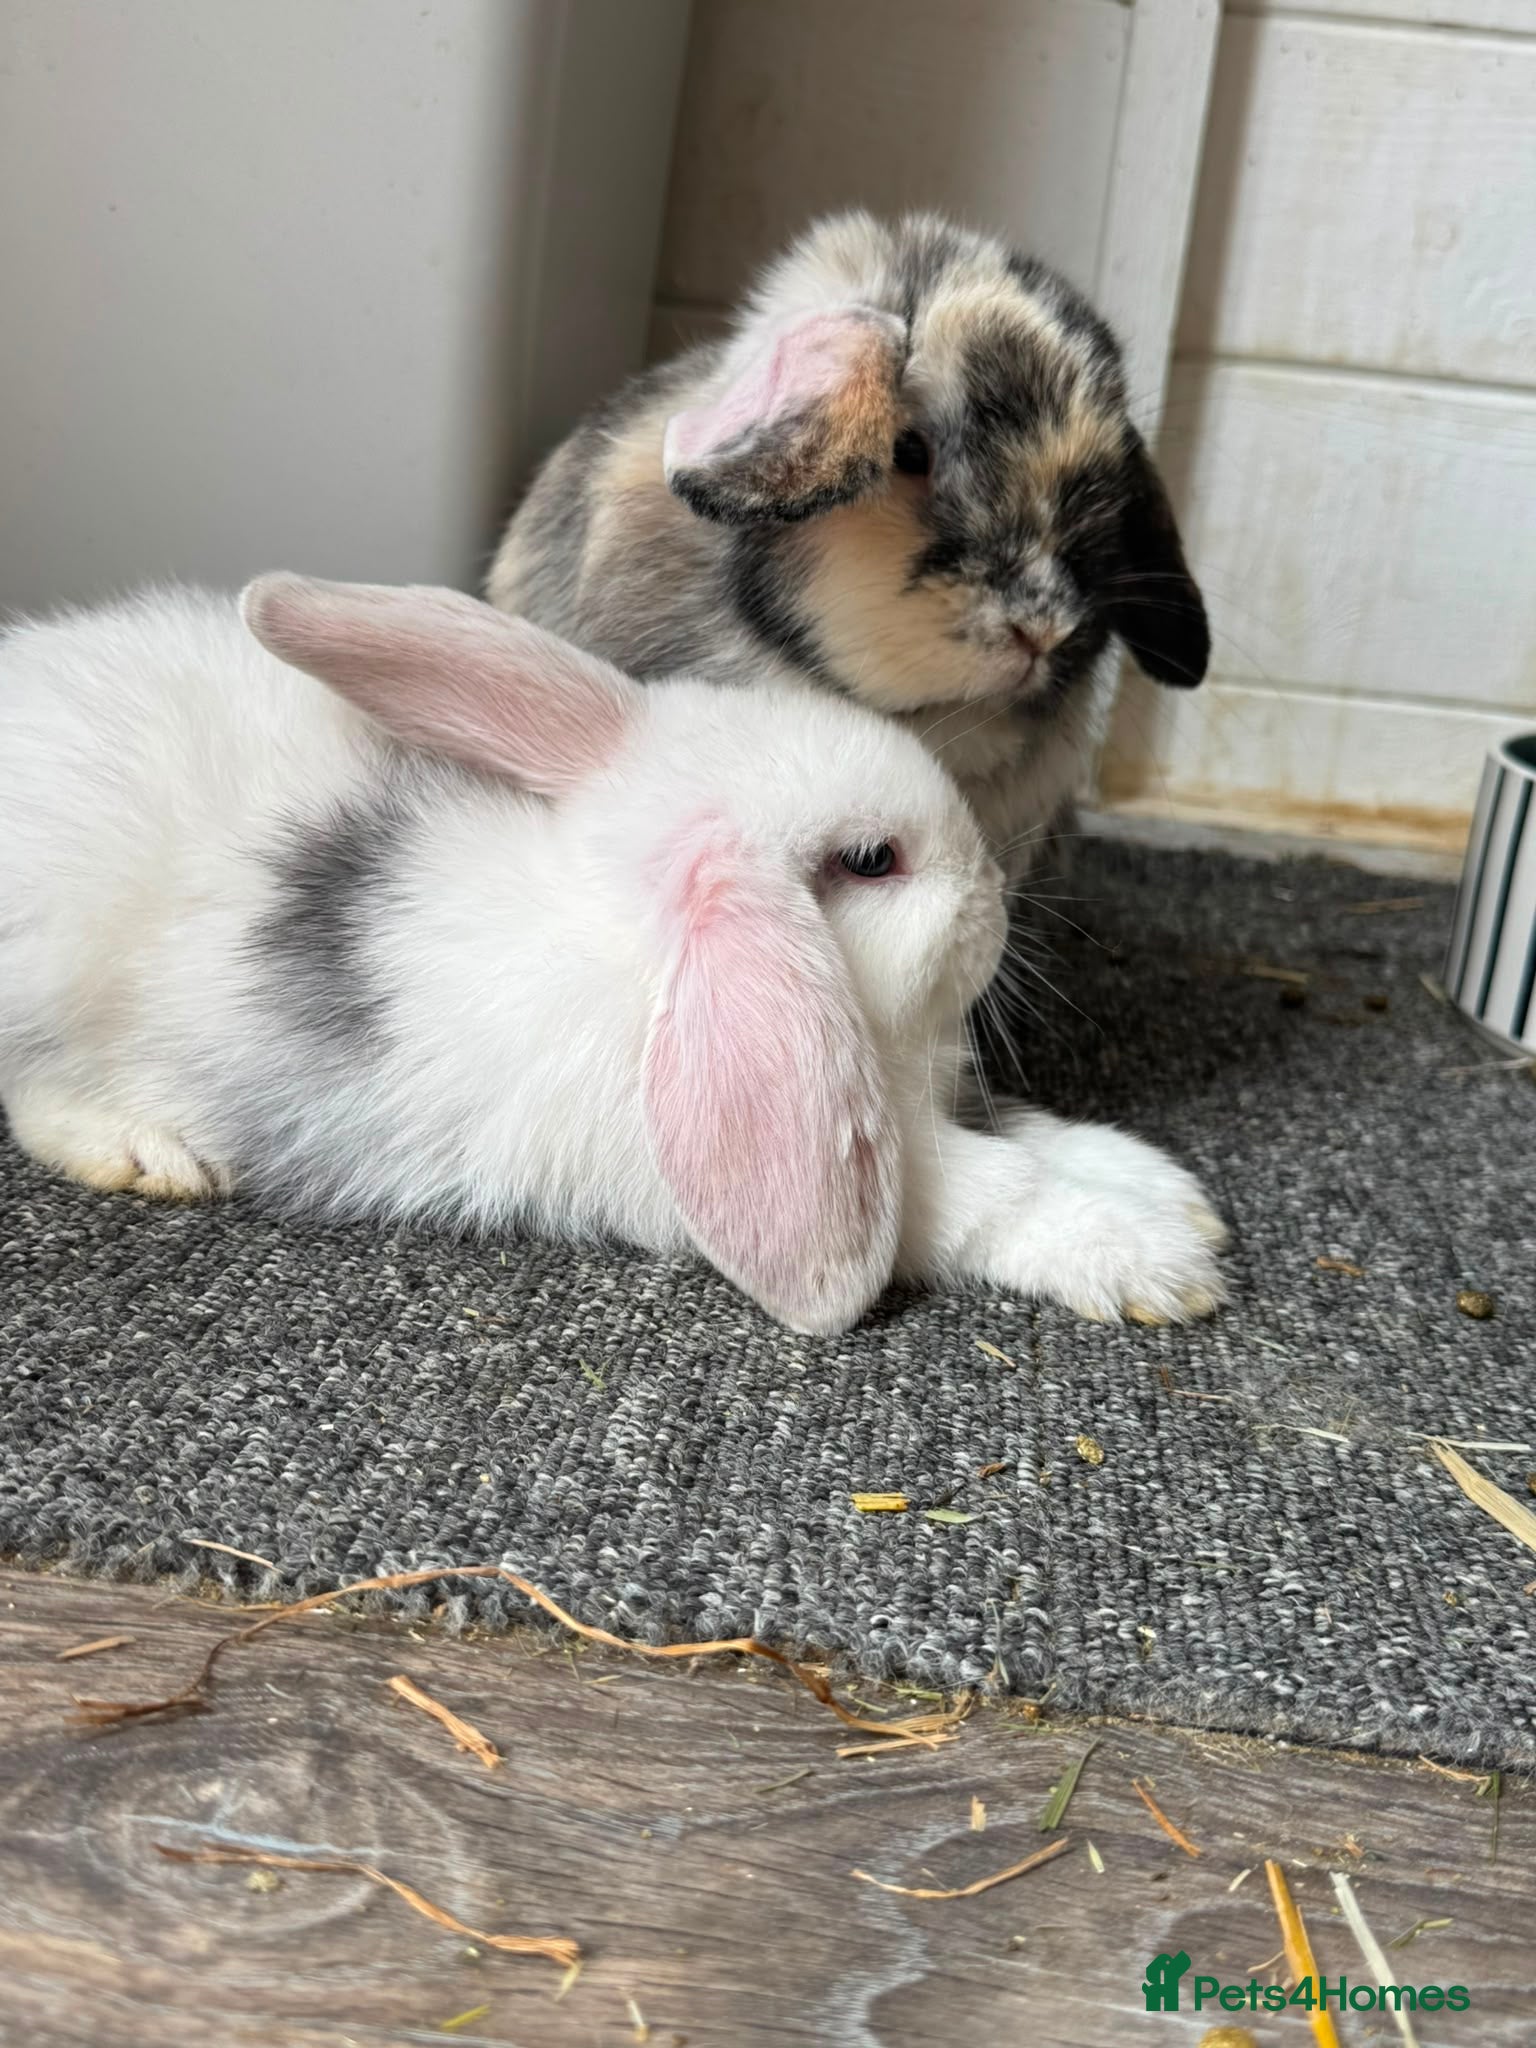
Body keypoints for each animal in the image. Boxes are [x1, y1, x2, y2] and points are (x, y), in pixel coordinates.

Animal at [0, 576, 1226, 1335]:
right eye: (872, 860)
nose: (993, 901)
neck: (643, 936)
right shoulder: (854, 1168)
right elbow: (988, 1191)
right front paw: (1157, 1260)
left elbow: (1025, 1131)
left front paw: (1168, 1188)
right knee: (31, 1091)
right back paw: (148, 1151)